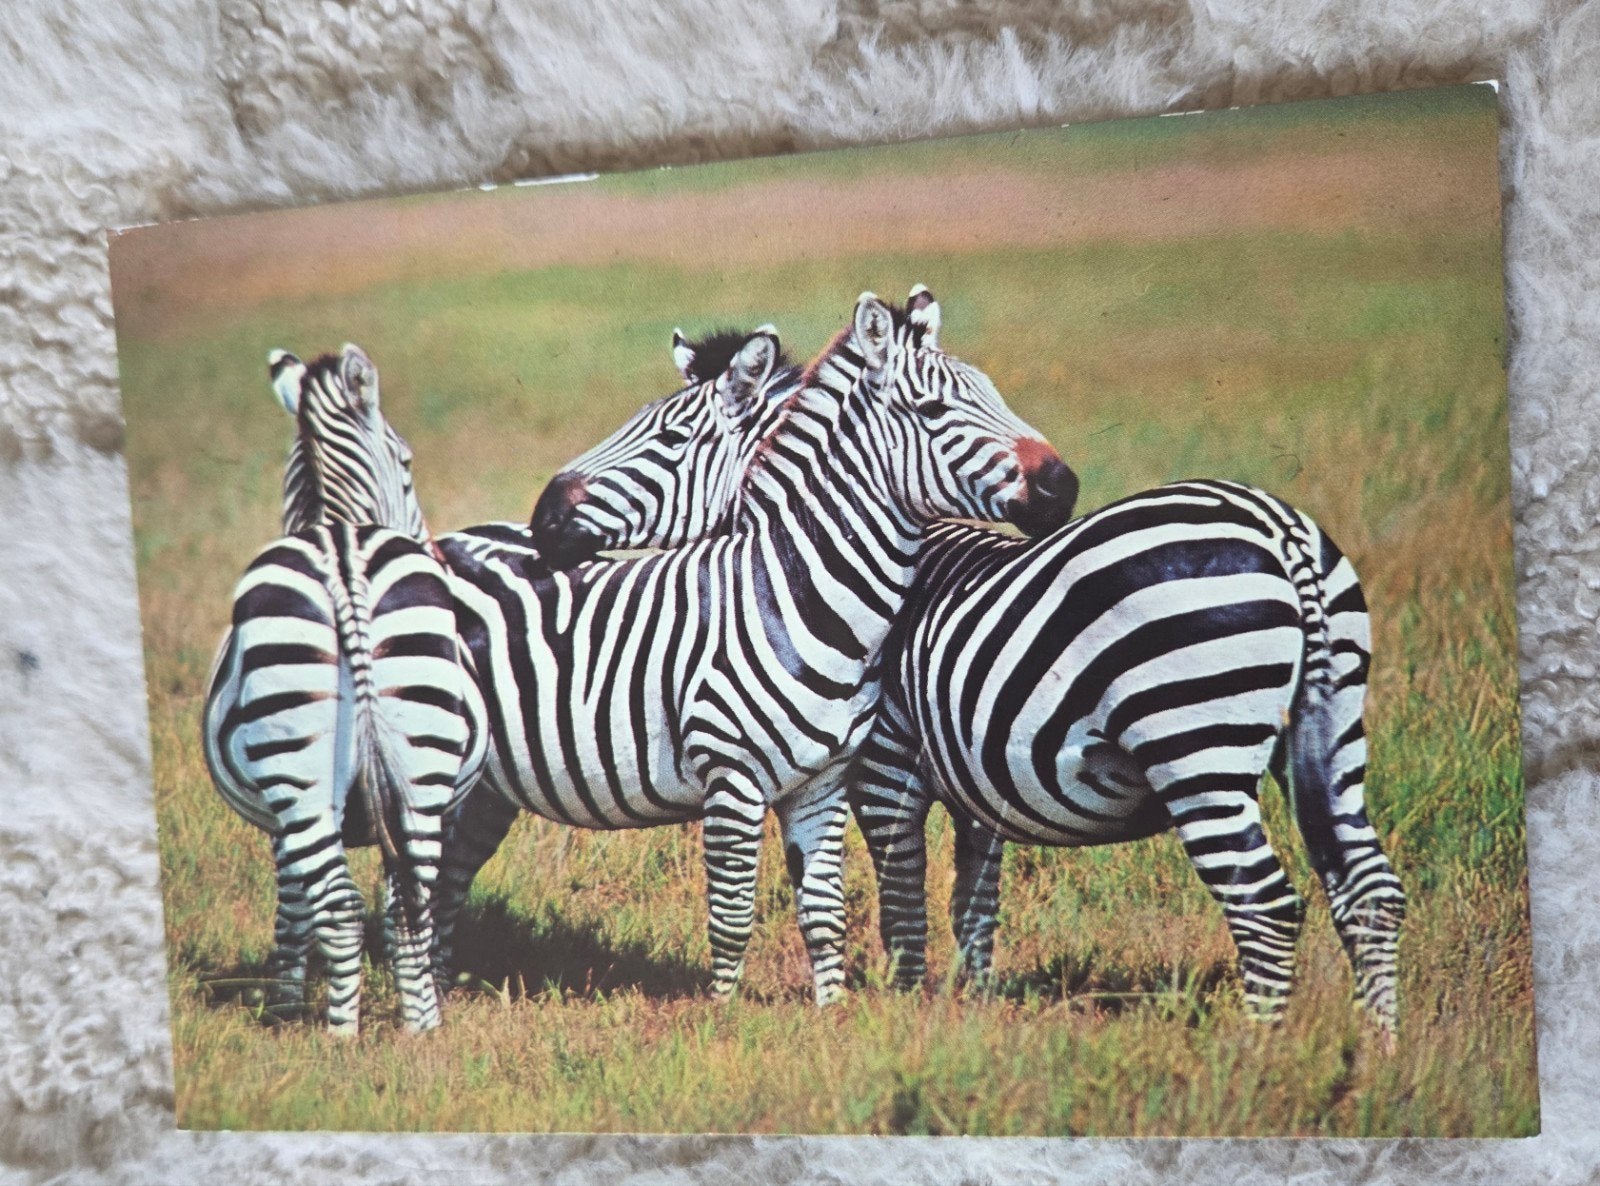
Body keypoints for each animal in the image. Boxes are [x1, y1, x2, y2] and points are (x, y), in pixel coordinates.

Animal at [202, 343, 485, 1034]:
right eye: (407, 465)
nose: (441, 557)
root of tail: (345, 557)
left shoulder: (279, 823)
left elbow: (292, 909)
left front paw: (282, 1006)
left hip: (297, 773)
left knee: (341, 907)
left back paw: (338, 1037)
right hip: (421, 765)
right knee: (407, 905)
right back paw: (421, 1029)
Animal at [430, 290, 1076, 1005]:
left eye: (669, 439)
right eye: (934, 409)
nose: (1064, 485)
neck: (804, 596)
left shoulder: (844, 779)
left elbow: (845, 910)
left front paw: (842, 1011)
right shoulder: (761, 777)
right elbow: (744, 913)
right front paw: (725, 1017)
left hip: (484, 785)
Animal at [535, 311, 1406, 1041]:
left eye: (667, 439)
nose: (544, 515)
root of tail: (1278, 524)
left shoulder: (886, 764)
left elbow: (903, 899)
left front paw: (901, 1007)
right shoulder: (977, 779)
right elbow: (973, 906)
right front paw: (974, 1007)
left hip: (1198, 749)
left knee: (1263, 901)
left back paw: (1263, 1048)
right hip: (1330, 735)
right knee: (1369, 889)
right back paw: (1381, 1046)